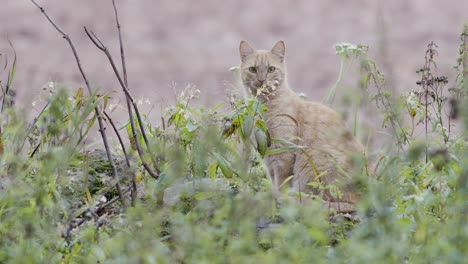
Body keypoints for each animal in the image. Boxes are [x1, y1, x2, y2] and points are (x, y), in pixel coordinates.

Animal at [238, 40, 366, 212]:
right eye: (253, 69)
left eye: (271, 69)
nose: (262, 80)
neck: (264, 106)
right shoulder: (268, 156)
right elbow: (273, 180)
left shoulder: (283, 154)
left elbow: (281, 184)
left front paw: (279, 200)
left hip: (315, 159)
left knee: (341, 203)